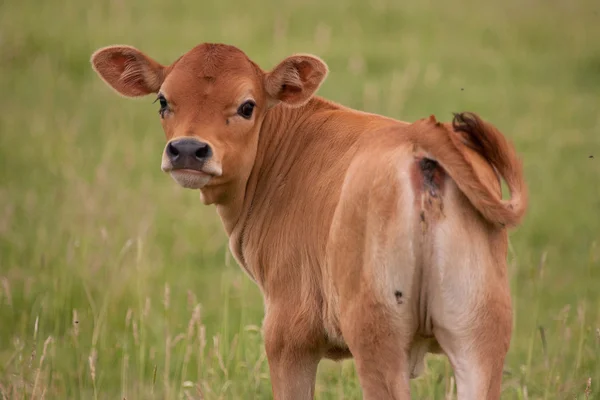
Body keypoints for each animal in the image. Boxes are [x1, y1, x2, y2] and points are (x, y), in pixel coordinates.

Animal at [91, 42, 528, 398]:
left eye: (247, 106)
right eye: (163, 101)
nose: (186, 149)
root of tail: (419, 140)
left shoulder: (288, 334)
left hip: (378, 337)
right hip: (479, 335)